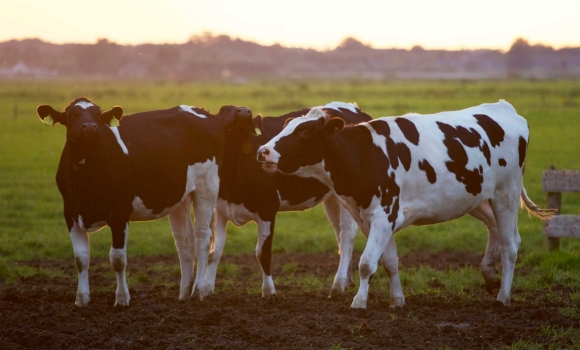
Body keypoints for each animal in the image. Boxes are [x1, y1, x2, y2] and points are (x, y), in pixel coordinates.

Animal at [36, 98, 224, 306]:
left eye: (98, 116)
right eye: (71, 116)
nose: (90, 127)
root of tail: (201, 111)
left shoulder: (119, 214)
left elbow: (118, 259)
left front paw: (122, 299)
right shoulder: (70, 213)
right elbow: (81, 258)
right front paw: (82, 299)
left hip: (207, 187)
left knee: (202, 238)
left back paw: (198, 291)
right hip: (180, 197)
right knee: (184, 241)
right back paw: (183, 293)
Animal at [205, 100, 372, 296]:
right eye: (223, 110)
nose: (245, 111)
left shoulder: (267, 209)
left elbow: (263, 253)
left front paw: (269, 292)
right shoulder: (220, 210)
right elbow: (214, 252)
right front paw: (206, 289)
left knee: (346, 235)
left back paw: (338, 285)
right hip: (333, 197)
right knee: (338, 232)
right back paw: (346, 280)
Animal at [260, 100, 556, 308]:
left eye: (305, 132)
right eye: (287, 126)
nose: (263, 151)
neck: (366, 154)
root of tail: (503, 107)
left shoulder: (384, 215)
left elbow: (367, 263)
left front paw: (359, 302)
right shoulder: (372, 218)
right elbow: (389, 261)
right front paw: (397, 300)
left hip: (506, 194)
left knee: (510, 246)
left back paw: (503, 297)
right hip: (477, 198)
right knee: (498, 231)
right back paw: (491, 276)